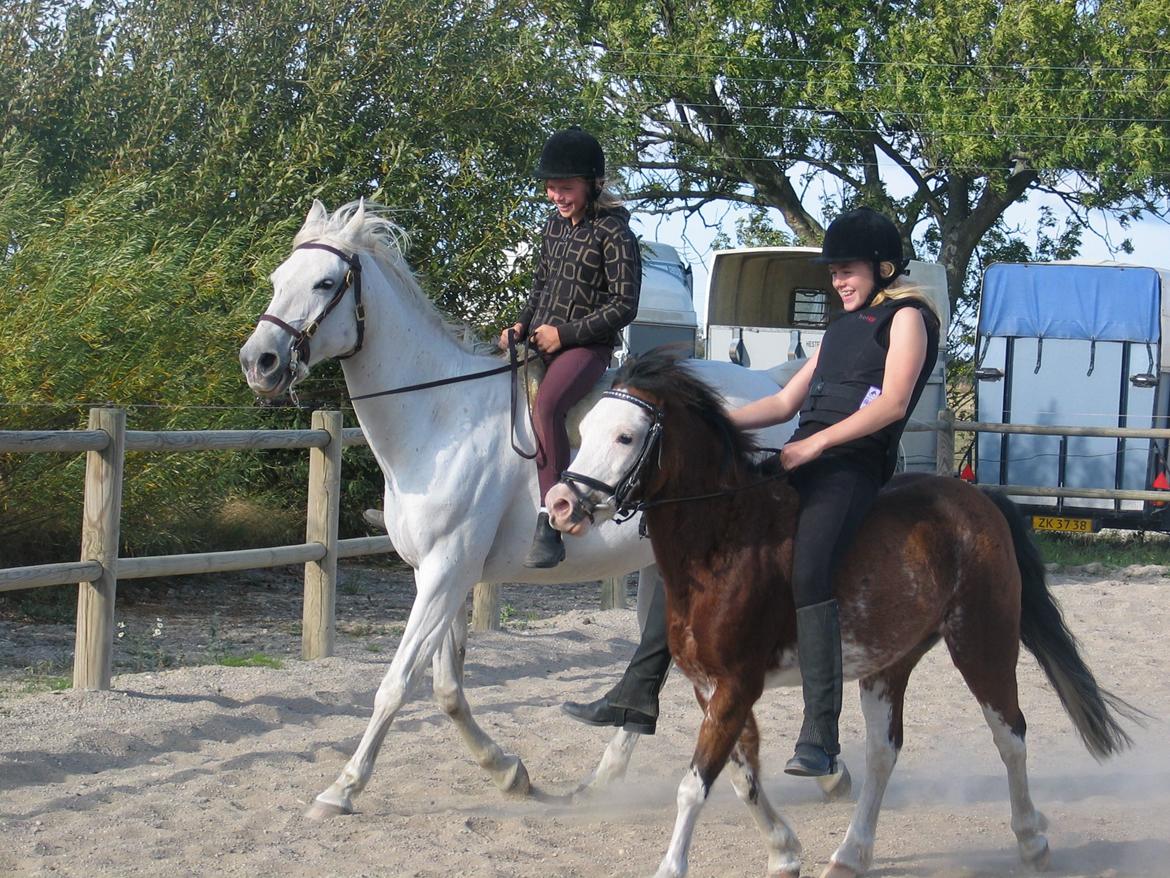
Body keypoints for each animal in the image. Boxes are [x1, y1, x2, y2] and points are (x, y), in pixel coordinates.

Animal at [238, 199, 814, 818]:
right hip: (663, 567)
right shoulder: (439, 573)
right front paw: (508, 772)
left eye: (325, 283)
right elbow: (446, 687)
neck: (440, 416)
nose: (259, 362)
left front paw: (341, 789)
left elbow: (396, 683)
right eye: (277, 279)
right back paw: (602, 780)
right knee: (657, 660)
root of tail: (771, 384)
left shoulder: (446, 571)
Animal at [544, 347, 1143, 878]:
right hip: (888, 664)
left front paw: (674, 867)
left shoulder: (736, 684)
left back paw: (1032, 841)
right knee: (884, 752)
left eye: (626, 436)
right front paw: (784, 853)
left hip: (982, 642)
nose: (561, 506)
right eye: (586, 430)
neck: (725, 539)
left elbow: (696, 785)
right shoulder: (709, 687)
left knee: (1010, 735)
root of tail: (979, 501)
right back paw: (851, 855)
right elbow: (741, 776)